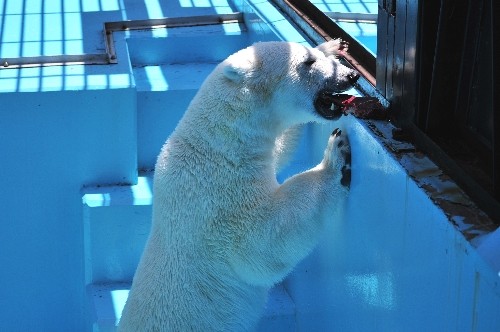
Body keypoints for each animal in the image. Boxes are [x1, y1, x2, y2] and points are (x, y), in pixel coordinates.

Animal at [119, 40, 358, 330]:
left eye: (313, 55)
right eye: (307, 62)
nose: (351, 76)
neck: (218, 144)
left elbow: (278, 150)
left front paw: (332, 45)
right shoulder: (217, 196)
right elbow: (263, 240)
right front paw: (336, 156)